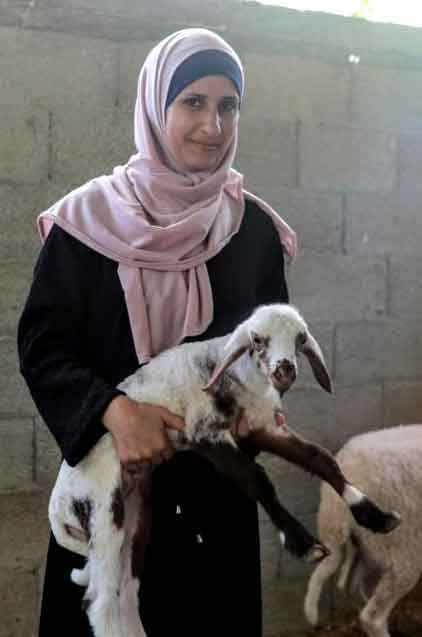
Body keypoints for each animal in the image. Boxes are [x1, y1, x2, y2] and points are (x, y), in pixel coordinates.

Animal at [48, 304, 398, 636]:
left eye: (300, 339)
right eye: (257, 340)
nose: (285, 371)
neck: (241, 380)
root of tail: (58, 514)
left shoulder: (261, 428)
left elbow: (320, 459)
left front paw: (374, 516)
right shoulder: (204, 431)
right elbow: (257, 479)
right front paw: (302, 543)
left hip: (134, 515)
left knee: (127, 591)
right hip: (103, 516)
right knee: (100, 603)